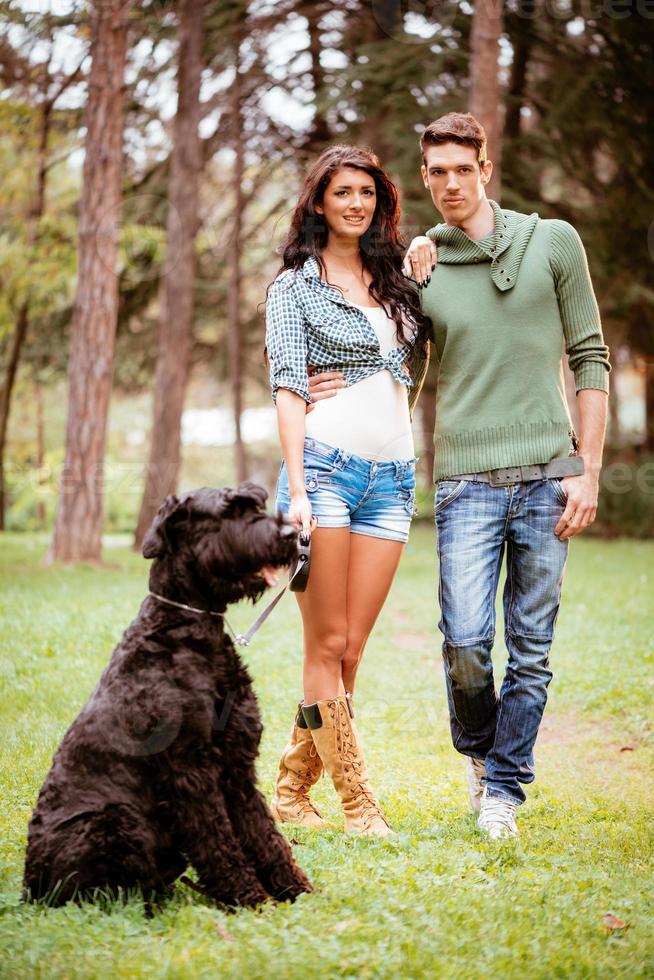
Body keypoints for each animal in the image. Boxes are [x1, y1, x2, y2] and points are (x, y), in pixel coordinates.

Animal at [21, 484, 314, 912]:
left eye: (257, 503)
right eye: (228, 512)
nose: (292, 535)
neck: (185, 629)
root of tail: (30, 887)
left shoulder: (236, 767)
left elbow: (263, 832)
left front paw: (295, 890)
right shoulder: (190, 771)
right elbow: (218, 839)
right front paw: (250, 899)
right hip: (113, 822)